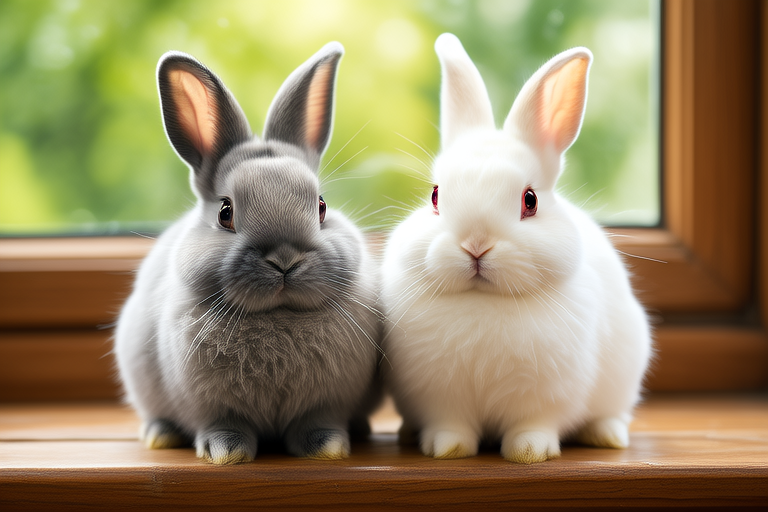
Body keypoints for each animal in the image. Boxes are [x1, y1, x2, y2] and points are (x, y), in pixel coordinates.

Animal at [114, 42, 382, 464]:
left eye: (321, 207)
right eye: (225, 213)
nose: (285, 260)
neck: (278, 317)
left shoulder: (326, 405)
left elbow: (316, 425)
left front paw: (329, 450)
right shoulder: (211, 406)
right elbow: (224, 425)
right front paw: (227, 453)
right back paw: (160, 435)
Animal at [380, 33, 652, 464]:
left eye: (530, 200)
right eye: (436, 196)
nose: (476, 245)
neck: (483, 301)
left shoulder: (545, 398)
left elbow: (533, 425)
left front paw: (528, 453)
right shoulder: (441, 399)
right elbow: (451, 425)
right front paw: (446, 450)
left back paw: (608, 436)